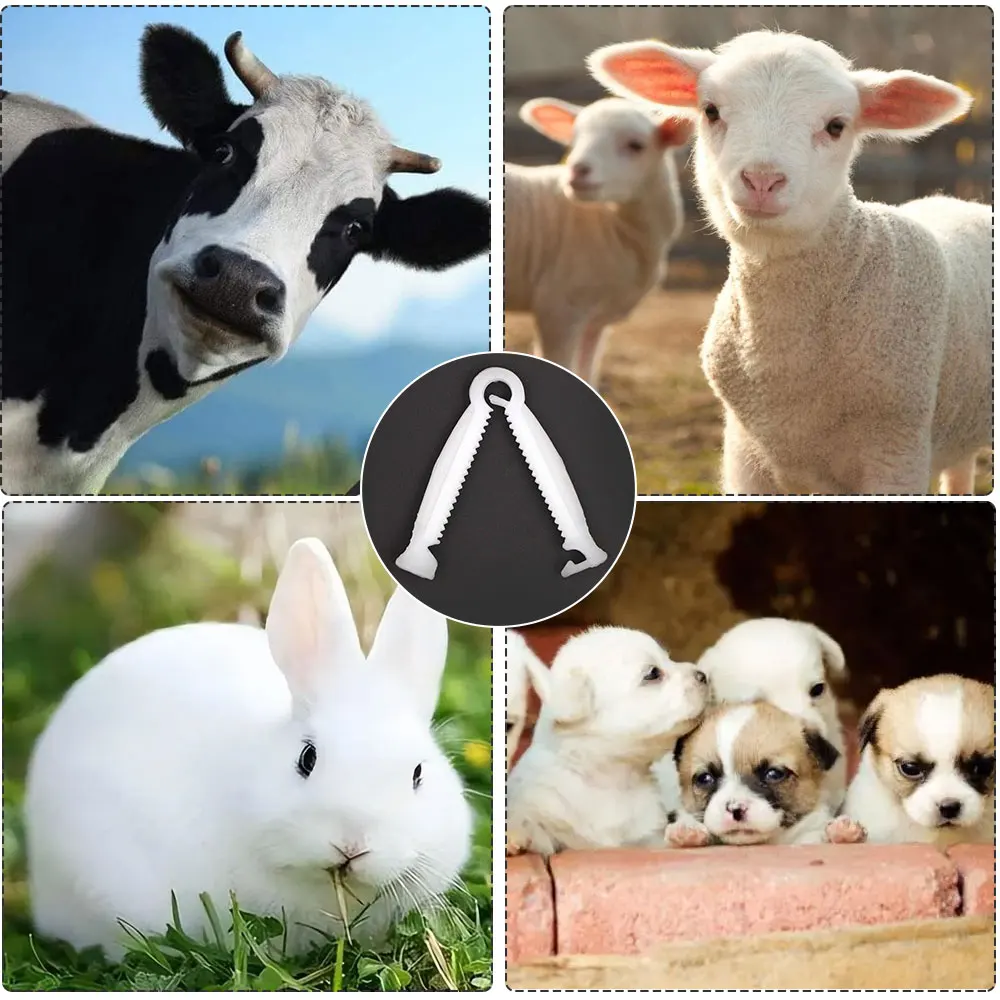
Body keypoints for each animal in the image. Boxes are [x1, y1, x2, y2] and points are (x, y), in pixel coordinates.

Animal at [504, 97, 690, 385]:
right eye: (575, 139)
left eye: (635, 145)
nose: (577, 170)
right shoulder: (559, 310)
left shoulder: (595, 322)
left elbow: (587, 375)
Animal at [590, 31, 992, 494]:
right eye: (711, 111)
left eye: (836, 126)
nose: (762, 179)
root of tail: (960, 201)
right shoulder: (745, 453)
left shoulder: (896, 450)